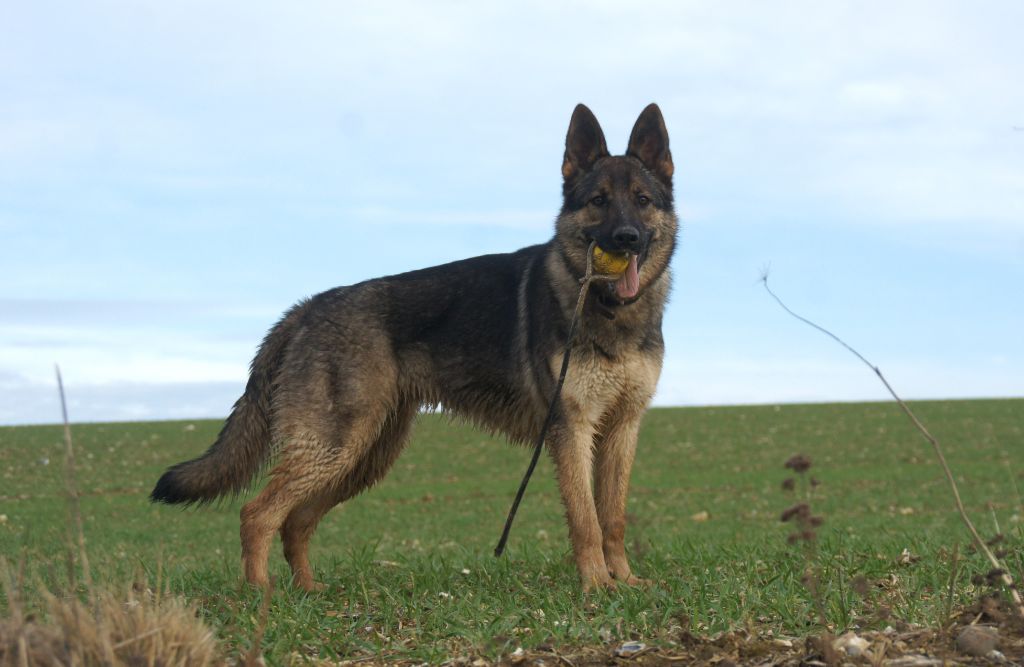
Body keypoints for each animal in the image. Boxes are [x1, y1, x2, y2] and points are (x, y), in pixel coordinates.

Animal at [151, 101, 675, 594]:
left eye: (642, 200)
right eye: (598, 201)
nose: (626, 239)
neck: (612, 313)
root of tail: (307, 308)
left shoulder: (622, 430)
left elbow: (613, 518)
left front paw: (625, 580)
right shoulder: (572, 430)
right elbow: (586, 519)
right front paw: (596, 585)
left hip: (363, 457)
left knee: (295, 520)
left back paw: (309, 590)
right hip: (334, 448)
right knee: (257, 513)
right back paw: (263, 595)